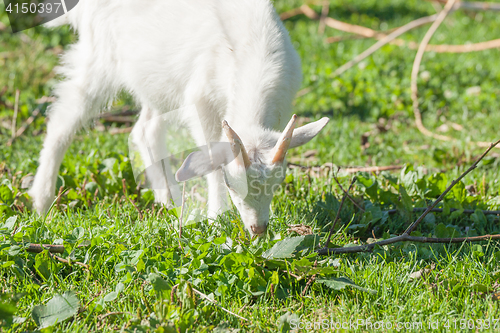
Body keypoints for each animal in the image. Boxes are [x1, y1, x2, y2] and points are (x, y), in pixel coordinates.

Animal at [30, 0, 328, 235]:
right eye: (231, 183)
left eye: (278, 183)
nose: (258, 229)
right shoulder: (202, 102)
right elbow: (211, 159)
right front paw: (216, 217)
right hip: (100, 57)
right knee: (63, 120)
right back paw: (42, 202)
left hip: (157, 79)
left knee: (145, 130)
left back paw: (168, 201)